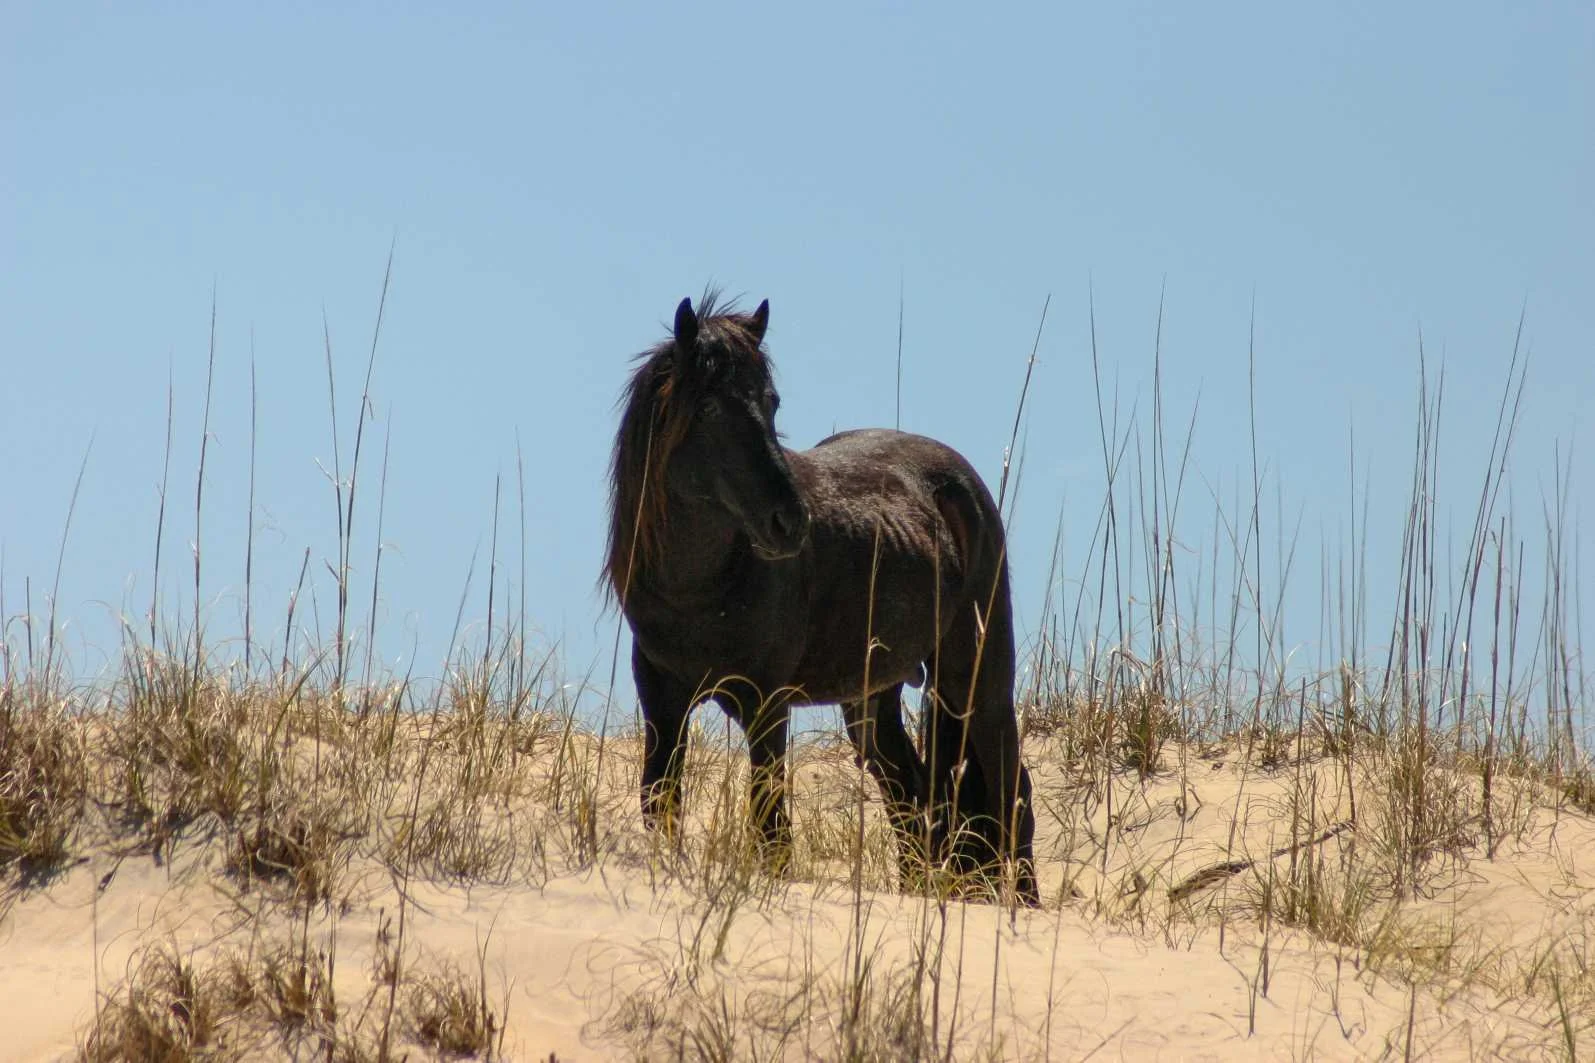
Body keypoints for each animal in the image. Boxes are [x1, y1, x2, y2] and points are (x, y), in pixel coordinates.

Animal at [605, 292, 1038, 905]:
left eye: (771, 401)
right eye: (707, 409)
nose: (790, 522)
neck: (700, 591)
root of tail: (963, 482)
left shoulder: (766, 704)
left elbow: (770, 825)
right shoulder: (662, 701)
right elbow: (660, 804)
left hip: (976, 677)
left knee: (1008, 787)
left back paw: (1024, 905)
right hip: (871, 699)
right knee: (911, 795)